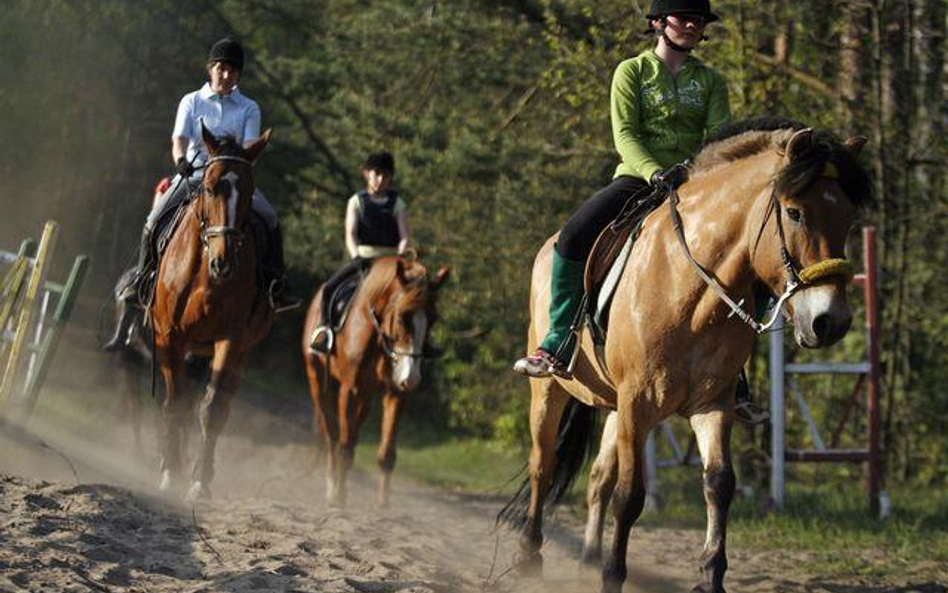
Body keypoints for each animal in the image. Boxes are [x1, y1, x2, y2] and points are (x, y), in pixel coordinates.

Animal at [150, 123, 272, 500]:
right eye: (208, 186)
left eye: (249, 191)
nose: (224, 262)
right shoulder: (171, 337)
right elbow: (175, 402)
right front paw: (170, 472)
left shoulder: (230, 342)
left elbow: (213, 410)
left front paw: (199, 480)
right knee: (178, 401)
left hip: (234, 351)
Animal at [304, 254, 452, 504]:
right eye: (402, 318)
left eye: (432, 320)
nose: (411, 378)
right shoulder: (350, 390)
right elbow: (344, 445)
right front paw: (340, 499)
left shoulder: (396, 394)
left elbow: (386, 454)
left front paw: (382, 506)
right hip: (318, 380)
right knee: (331, 435)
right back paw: (331, 484)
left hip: (366, 396)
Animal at [500, 121, 872, 592]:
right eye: (794, 213)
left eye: (848, 217)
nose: (830, 321)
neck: (689, 289)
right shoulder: (638, 403)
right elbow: (630, 496)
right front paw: (613, 576)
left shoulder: (711, 404)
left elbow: (719, 484)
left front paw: (710, 576)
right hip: (551, 391)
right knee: (542, 464)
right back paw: (529, 556)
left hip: (614, 406)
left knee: (598, 477)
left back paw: (586, 559)